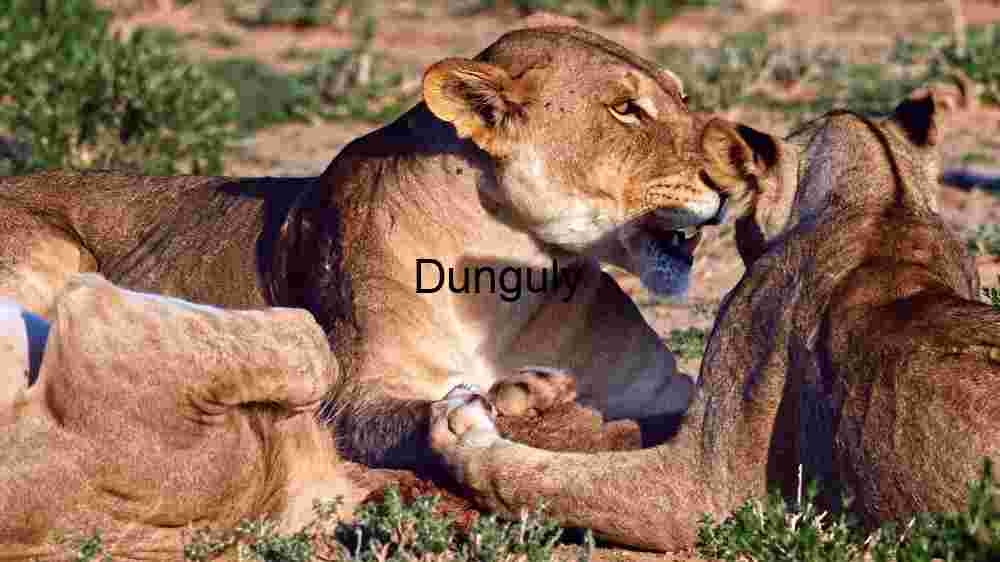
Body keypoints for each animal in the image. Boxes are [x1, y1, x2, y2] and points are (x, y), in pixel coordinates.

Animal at [0, 26, 730, 471]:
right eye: (625, 110)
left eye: (681, 96)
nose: (735, 177)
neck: (516, 283)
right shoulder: (351, 395)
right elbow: (415, 419)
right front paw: (516, 401)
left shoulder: (666, 387)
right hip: (50, 253)